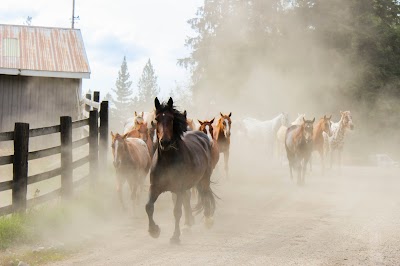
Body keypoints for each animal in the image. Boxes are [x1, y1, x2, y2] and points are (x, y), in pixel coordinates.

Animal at [146, 97, 217, 243]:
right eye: (156, 119)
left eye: (171, 119)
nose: (164, 142)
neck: (167, 160)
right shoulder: (155, 187)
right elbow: (148, 207)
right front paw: (154, 230)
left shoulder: (178, 188)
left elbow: (177, 211)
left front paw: (175, 236)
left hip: (204, 178)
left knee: (205, 194)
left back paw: (207, 220)